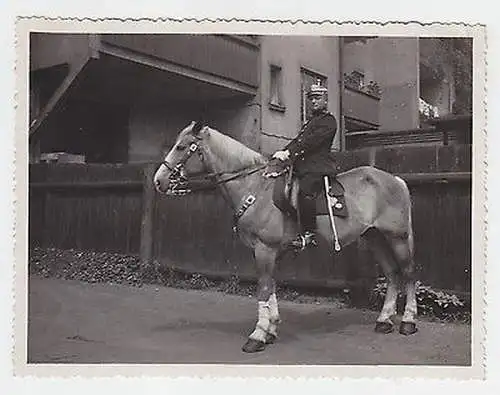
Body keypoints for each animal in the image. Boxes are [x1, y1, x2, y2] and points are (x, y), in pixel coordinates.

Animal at [153, 120, 418, 352]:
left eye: (181, 147)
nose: (158, 181)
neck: (255, 187)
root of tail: (394, 179)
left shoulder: (264, 249)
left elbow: (262, 288)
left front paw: (258, 335)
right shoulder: (271, 252)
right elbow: (271, 287)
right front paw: (271, 329)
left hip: (397, 237)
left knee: (408, 273)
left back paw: (408, 322)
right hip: (375, 238)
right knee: (392, 274)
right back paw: (384, 320)